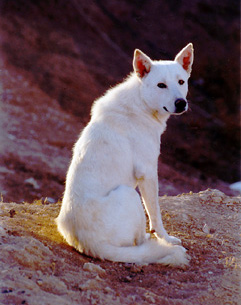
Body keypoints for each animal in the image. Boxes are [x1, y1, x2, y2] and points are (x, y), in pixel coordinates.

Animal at [56, 43, 194, 266]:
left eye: (181, 82)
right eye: (161, 85)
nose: (181, 103)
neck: (142, 104)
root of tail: (89, 243)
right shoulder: (148, 173)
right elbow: (155, 214)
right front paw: (166, 239)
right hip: (129, 193)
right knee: (137, 243)